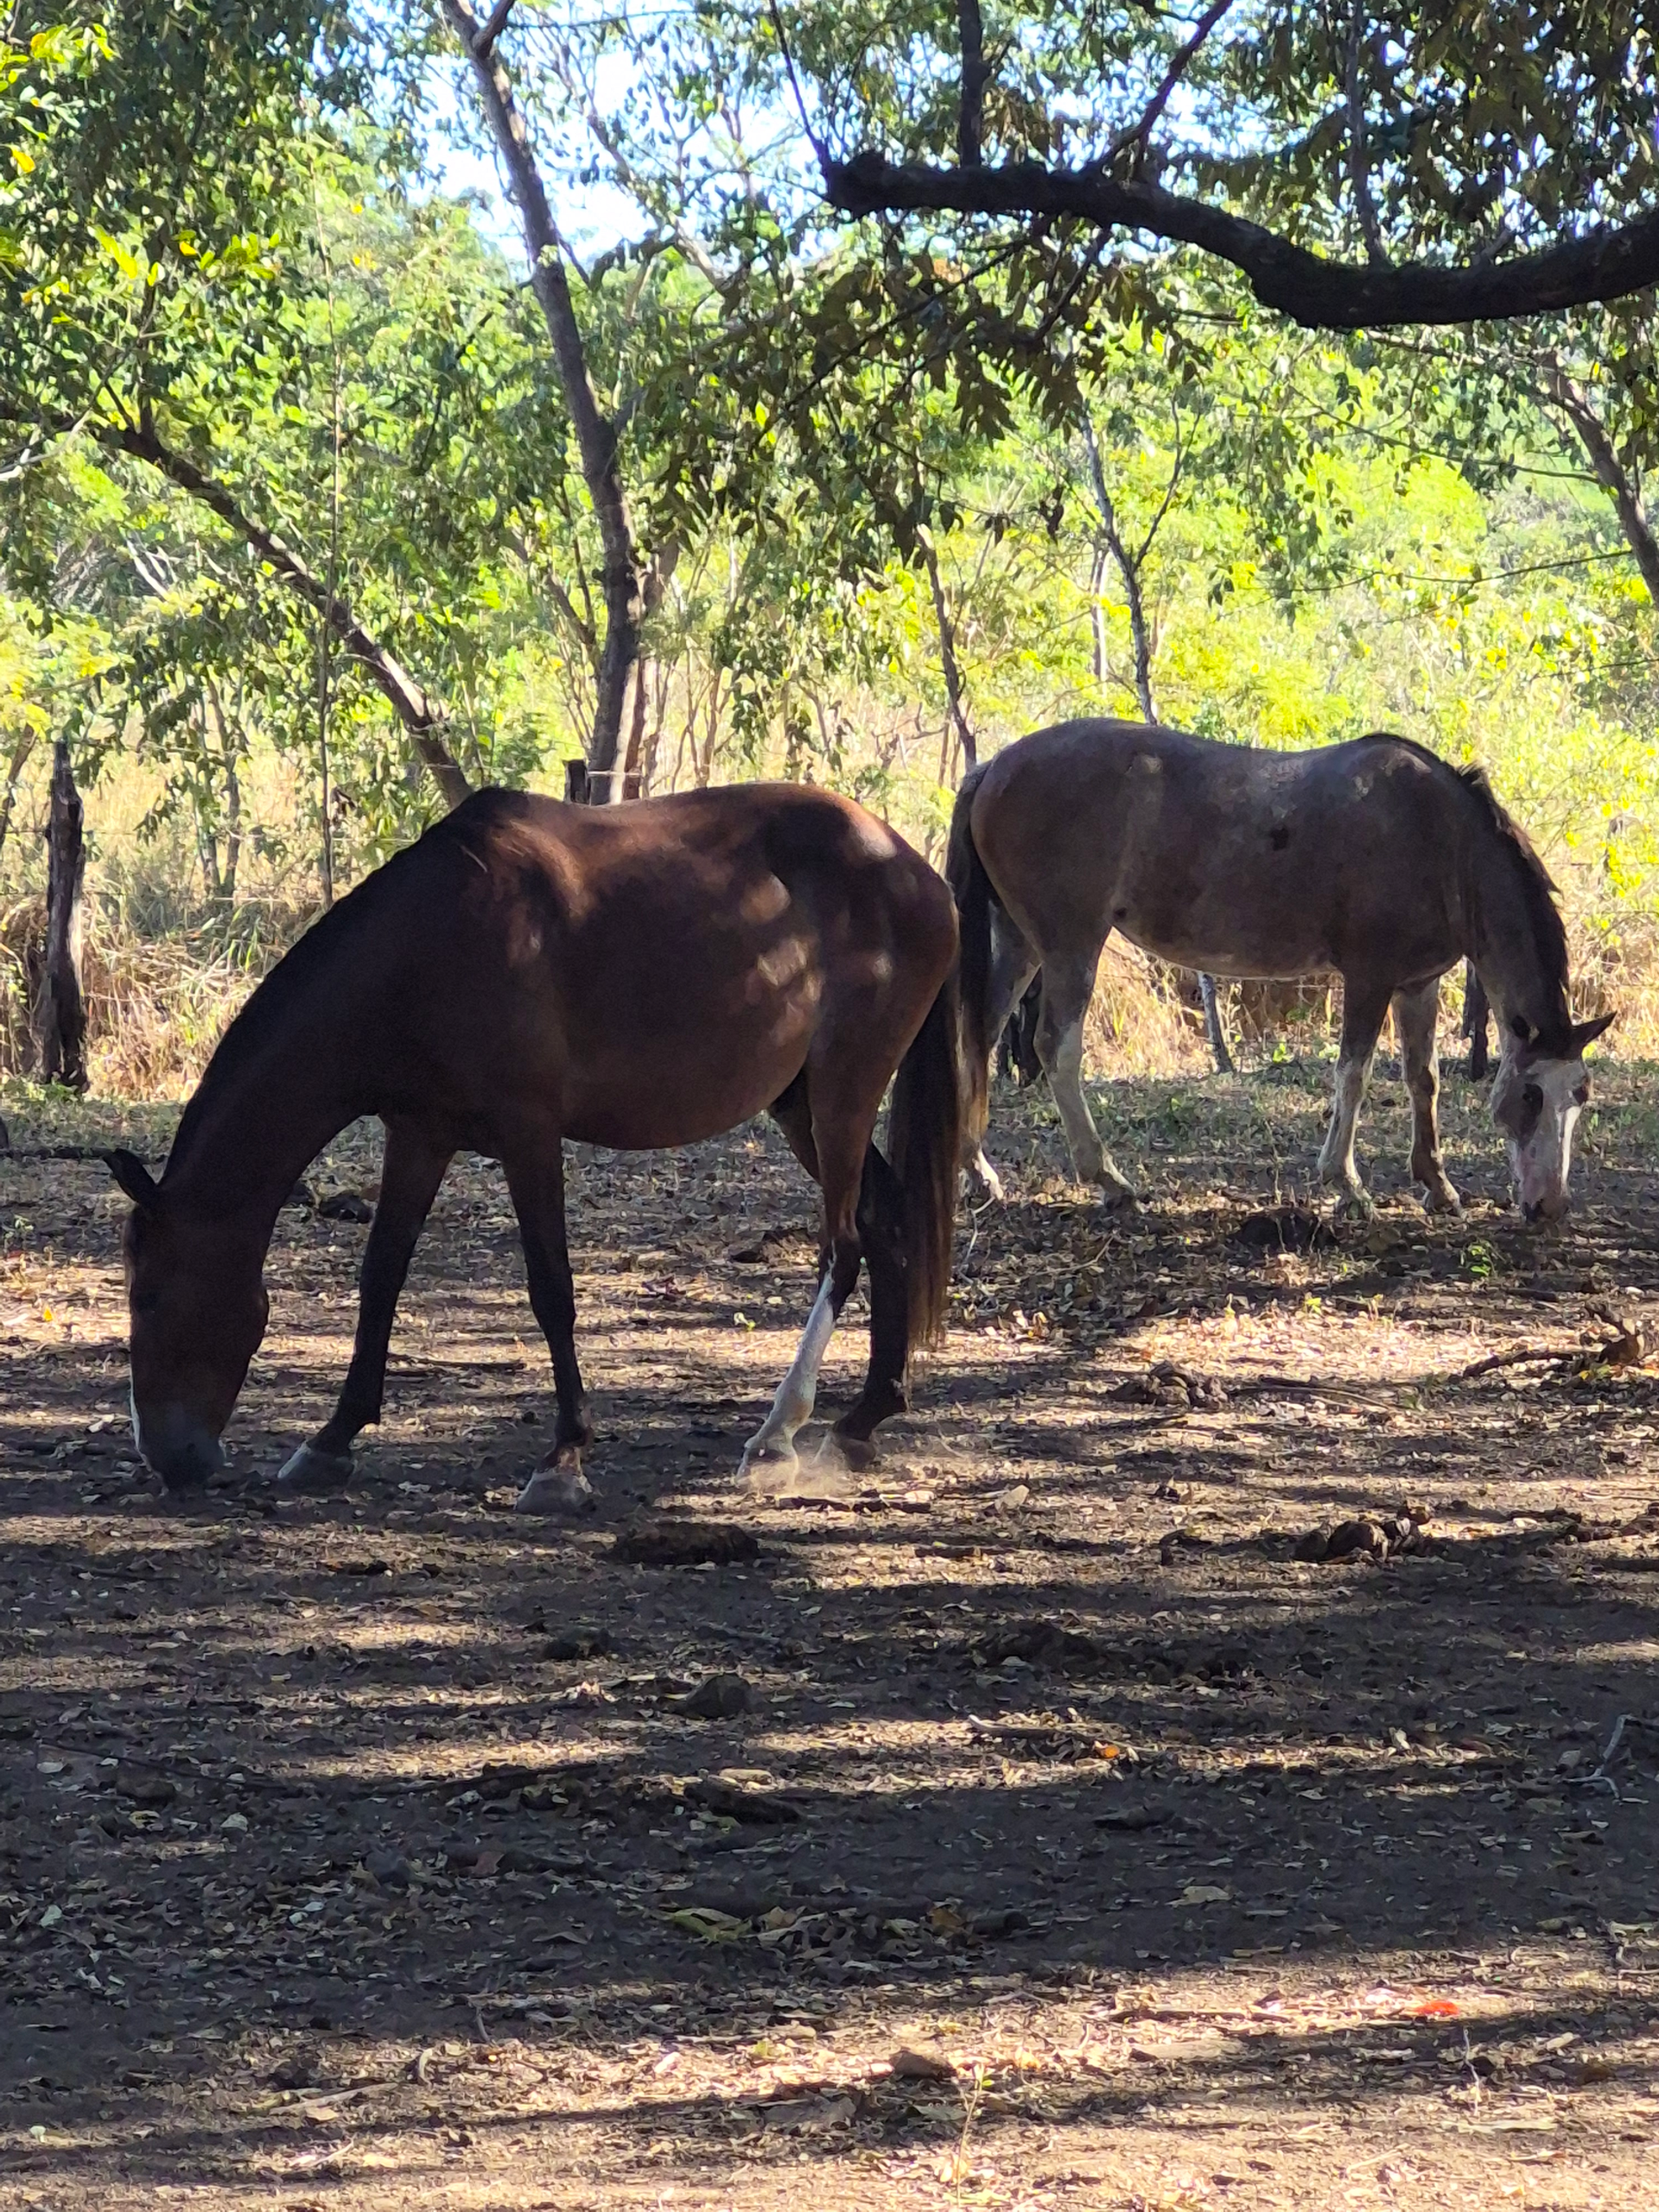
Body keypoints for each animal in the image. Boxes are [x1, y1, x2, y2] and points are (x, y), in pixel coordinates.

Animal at [107, 784, 960, 1510]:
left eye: (148, 1297)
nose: (168, 1458)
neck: (425, 949)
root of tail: (916, 872)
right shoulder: (419, 1136)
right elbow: (381, 1277)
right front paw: (332, 1439)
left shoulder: (529, 1136)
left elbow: (551, 1289)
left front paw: (564, 1459)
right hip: (799, 1105)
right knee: (885, 1225)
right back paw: (862, 1420)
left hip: (844, 1090)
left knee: (843, 1246)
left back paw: (778, 1435)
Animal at [947, 719, 1612, 1220]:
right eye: (1530, 1095)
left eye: (1581, 1094)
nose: (1550, 1207)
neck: (1441, 841)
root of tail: (993, 768)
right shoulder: (1369, 978)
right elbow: (1354, 1076)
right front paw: (1346, 1184)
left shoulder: (1417, 983)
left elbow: (1422, 1079)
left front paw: (1437, 1186)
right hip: (1070, 944)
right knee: (1056, 1046)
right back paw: (1109, 1179)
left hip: (1019, 940)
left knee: (979, 1034)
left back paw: (979, 1172)